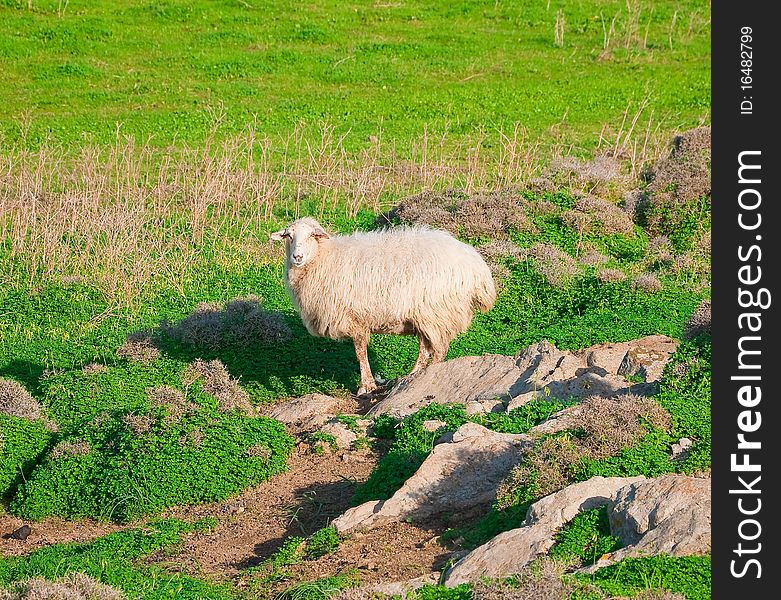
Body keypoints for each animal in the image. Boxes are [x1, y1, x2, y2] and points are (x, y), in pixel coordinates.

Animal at [272, 218, 496, 396]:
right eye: (288, 236)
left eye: (312, 235)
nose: (297, 257)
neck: (322, 258)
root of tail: (477, 267)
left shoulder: (356, 318)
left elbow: (360, 353)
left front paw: (366, 386)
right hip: (426, 316)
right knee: (426, 348)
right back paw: (412, 376)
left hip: (436, 311)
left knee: (439, 350)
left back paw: (427, 375)